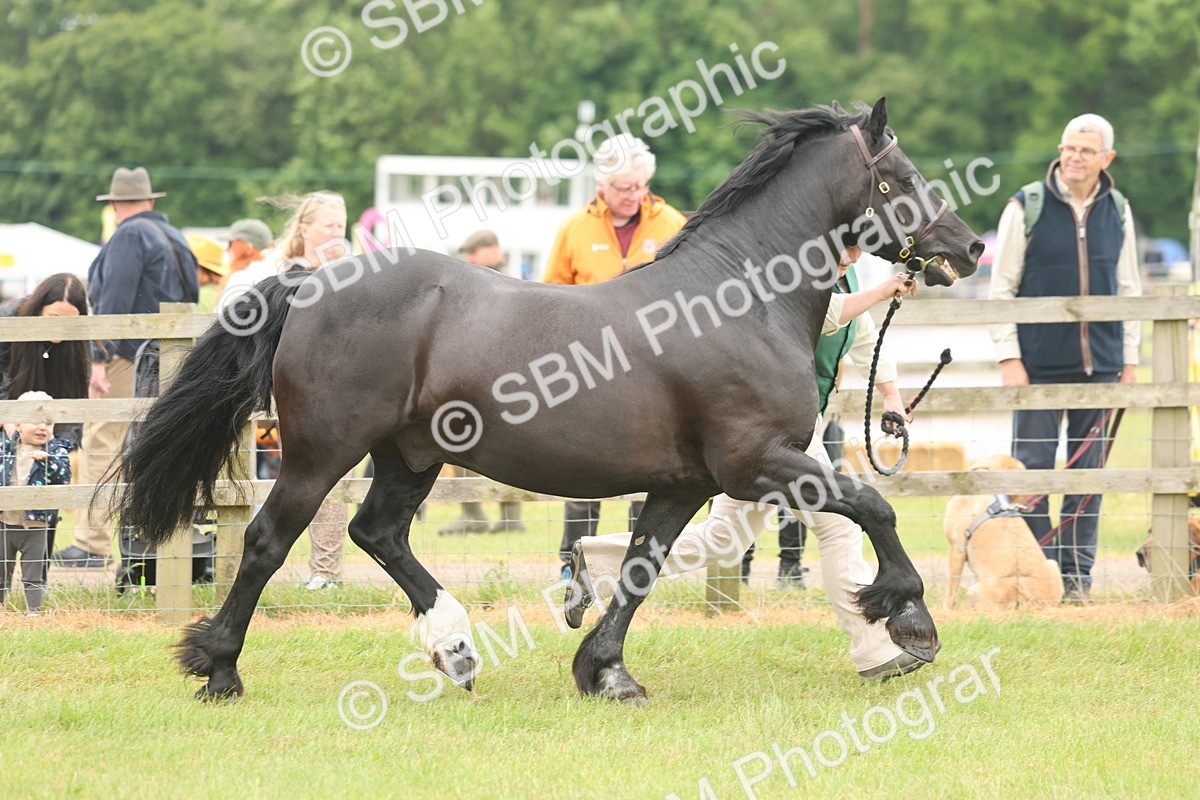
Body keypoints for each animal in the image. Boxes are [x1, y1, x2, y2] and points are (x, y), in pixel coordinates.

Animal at [107, 97, 983, 703]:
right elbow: (874, 505)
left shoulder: (685, 484)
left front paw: (605, 671)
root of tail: (311, 282)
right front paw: (908, 621)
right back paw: (219, 668)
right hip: (322, 452)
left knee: (377, 532)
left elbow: (640, 566)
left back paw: (455, 648)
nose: (969, 246)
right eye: (902, 179)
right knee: (267, 542)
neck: (739, 300)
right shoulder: (756, 463)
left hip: (411, 454)